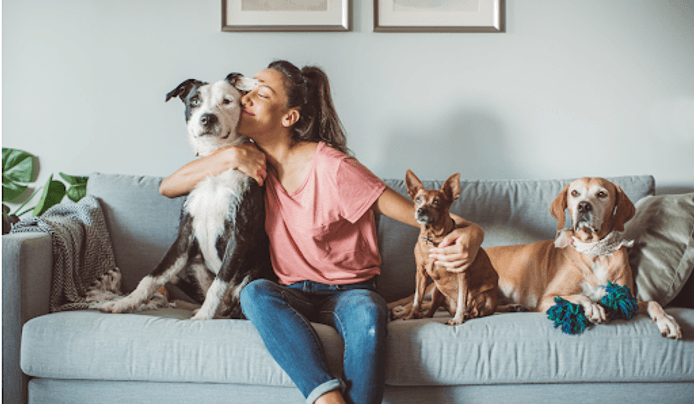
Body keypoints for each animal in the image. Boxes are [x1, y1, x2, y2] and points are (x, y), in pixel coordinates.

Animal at [100, 72, 274, 318]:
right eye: (194, 101)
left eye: (227, 101)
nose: (207, 118)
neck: (214, 163)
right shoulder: (184, 235)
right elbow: (152, 277)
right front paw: (125, 302)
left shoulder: (238, 235)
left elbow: (218, 284)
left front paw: (203, 317)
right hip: (194, 264)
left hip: (253, 273)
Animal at [392, 170, 500, 326]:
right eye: (418, 199)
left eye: (436, 202)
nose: (420, 210)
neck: (433, 238)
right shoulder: (421, 273)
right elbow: (417, 299)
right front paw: (412, 315)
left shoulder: (462, 273)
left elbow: (462, 299)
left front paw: (458, 319)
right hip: (438, 291)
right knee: (432, 309)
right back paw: (423, 315)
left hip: (484, 296)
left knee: (475, 310)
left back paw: (466, 315)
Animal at [490, 177, 684, 338]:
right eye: (575, 193)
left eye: (602, 194)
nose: (583, 206)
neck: (594, 252)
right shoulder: (546, 298)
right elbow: (580, 296)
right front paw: (593, 307)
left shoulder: (627, 299)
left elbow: (652, 302)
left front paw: (667, 320)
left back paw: (513, 307)